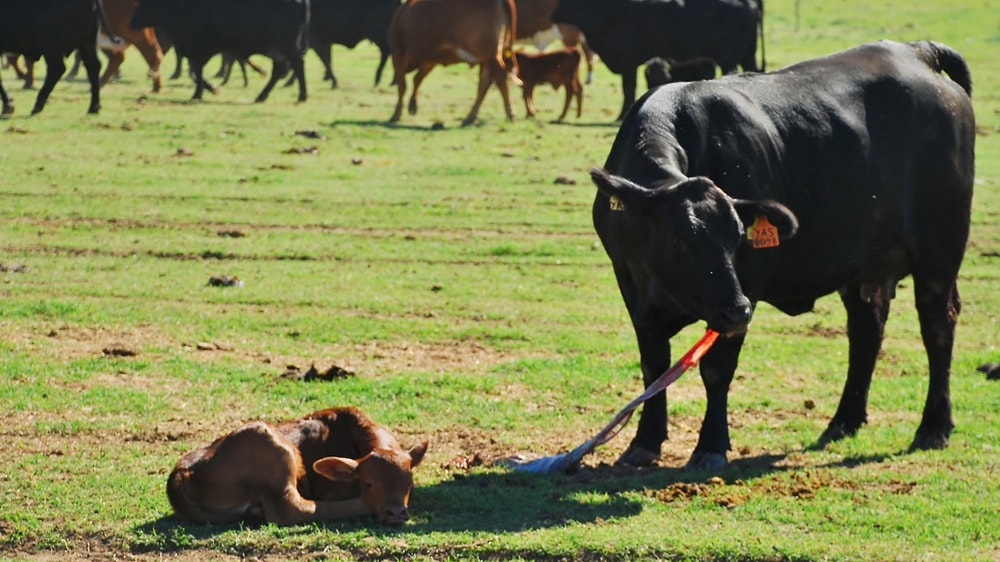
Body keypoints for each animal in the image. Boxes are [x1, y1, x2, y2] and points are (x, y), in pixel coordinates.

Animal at [129, 0, 308, 103]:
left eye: (144, 4)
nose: (131, 22)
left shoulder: (198, 49)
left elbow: (196, 71)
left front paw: (199, 92)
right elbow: (196, 71)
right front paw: (209, 89)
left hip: (285, 46)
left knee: (296, 65)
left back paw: (301, 95)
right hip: (277, 49)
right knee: (280, 70)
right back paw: (262, 96)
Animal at [165, 404, 430, 524]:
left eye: (409, 483)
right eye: (368, 483)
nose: (395, 512)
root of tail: (180, 471)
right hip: (273, 445)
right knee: (291, 509)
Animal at [386, 0, 520, 126]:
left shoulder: (397, 52)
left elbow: (402, 86)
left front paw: (396, 114)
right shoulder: (431, 59)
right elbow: (417, 79)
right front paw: (412, 105)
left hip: (490, 55)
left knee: (500, 77)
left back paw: (510, 113)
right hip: (487, 59)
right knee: (484, 83)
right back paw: (470, 117)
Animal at [552, 0, 760, 120]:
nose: (553, 15)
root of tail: (750, 6)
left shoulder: (628, 61)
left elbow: (629, 88)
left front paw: (622, 115)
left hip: (729, 58)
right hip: (747, 55)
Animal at [588, 39, 972, 468]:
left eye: (738, 238)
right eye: (679, 239)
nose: (738, 311)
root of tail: (916, 52)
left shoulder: (747, 285)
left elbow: (717, 369)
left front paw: (711, 445)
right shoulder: (634, 290)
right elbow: (653, 366)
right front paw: (645, 442)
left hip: (938, 252)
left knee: (937, 326)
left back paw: (934, 426)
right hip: (863, 265)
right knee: (866, 331)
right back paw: (844, 421)